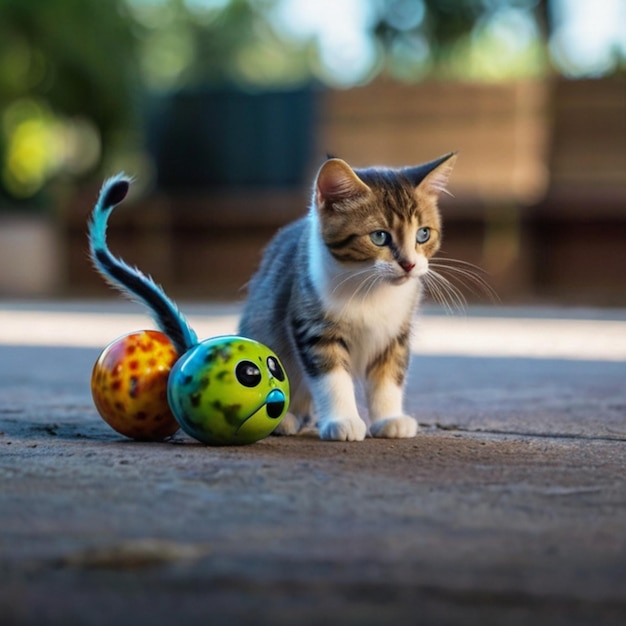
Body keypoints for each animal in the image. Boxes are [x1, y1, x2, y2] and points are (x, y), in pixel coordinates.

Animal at [236, 151, 456, 442]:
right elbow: (332, 376)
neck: (371, 289)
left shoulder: (396, 332)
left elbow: (389, 374)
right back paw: (285, 419)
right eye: (379, 236)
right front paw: (344, 421)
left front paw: (389, 419)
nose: (409, 264)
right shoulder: (313, 322)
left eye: (423, 234)